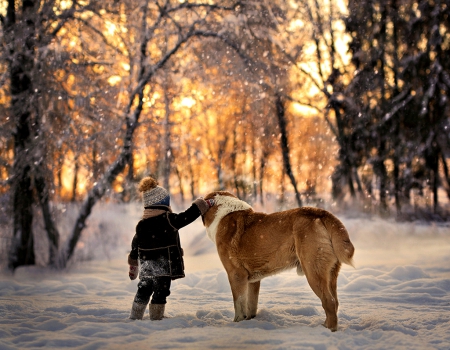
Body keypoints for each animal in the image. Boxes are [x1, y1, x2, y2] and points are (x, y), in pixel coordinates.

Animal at [201, 191, 356, 330]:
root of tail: (319, 212)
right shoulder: (253, 281)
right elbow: (251, 304)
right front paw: (250, 321)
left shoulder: (236, 275)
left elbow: (239, 304)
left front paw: (237, 323)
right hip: (331, 274)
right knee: (335, 302)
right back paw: (325, 325)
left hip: (313, 271)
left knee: (329, 302)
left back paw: (328, 330)